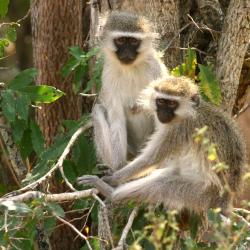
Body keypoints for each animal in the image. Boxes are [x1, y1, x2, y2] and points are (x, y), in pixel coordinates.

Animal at [79, 76, 246, 215]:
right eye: (160, 101)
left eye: (172, 103)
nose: (163, 113)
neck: (188, 113)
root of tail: (226, 198)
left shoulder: (178, 130)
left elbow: (150, 159)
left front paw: (113, 179)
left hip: (203, 194)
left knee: (162, 185)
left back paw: (110, 193)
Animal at [92, 11, 168, 170]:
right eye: (121, 40)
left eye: (133, 42)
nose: (127, 52)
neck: (129, 69)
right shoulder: (108, 75)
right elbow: (117, 120)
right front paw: (119, 168)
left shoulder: (155, 69)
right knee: (98, 110)